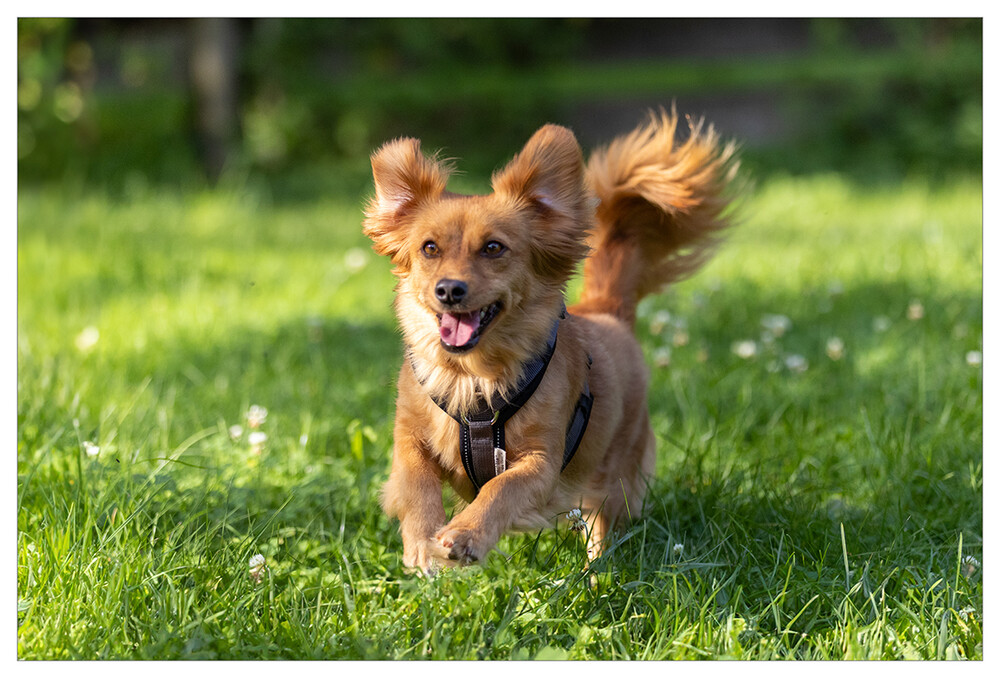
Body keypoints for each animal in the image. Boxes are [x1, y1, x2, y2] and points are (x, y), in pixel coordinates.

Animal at [364, 113, 740, 580]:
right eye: (428, 248)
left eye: (494, 248)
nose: (449, 289)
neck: (473, 378)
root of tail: (605, 309)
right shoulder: (408, 437)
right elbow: (416, 478)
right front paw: (420, 539)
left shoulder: (543, 464)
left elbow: (502, 487)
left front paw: (467, 534)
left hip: (614, 478)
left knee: (603, 529)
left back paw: (595, 578)